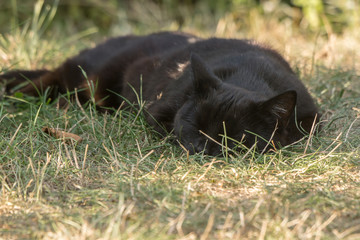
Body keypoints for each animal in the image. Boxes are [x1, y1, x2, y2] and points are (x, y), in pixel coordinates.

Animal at [1, 31, 320, 155]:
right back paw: (16, 95)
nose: (201, 147)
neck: (249, 76)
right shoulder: (158, 111)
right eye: (194, 126)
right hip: (93, 78)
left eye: (234, 137)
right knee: (53, 77)